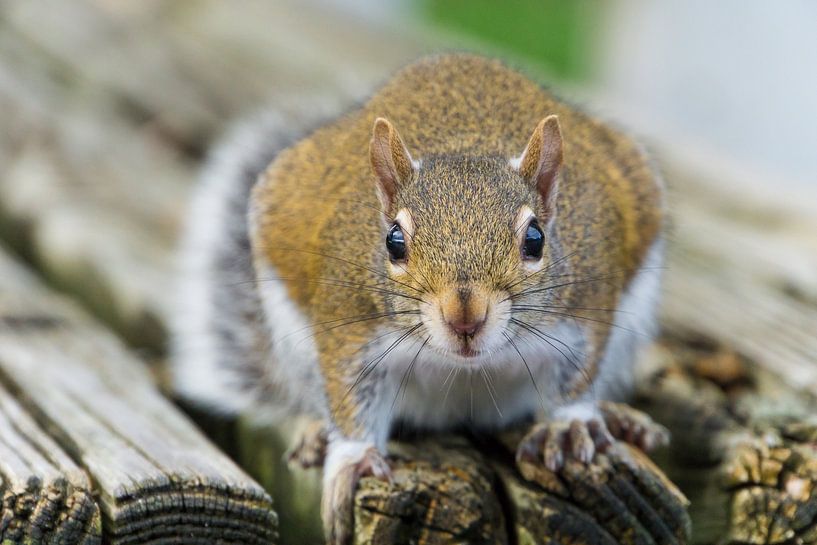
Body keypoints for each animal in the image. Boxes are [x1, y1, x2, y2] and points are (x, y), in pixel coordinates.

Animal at [171, 54, 669, 544]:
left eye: (535, 239)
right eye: (394, 242)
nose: (464, 317)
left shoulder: (583, 312)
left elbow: (575, 375)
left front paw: (567, 427)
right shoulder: (350, 326)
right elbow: (349, 393)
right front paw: (353, 459)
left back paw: (621, 419)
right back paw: (314, 432)